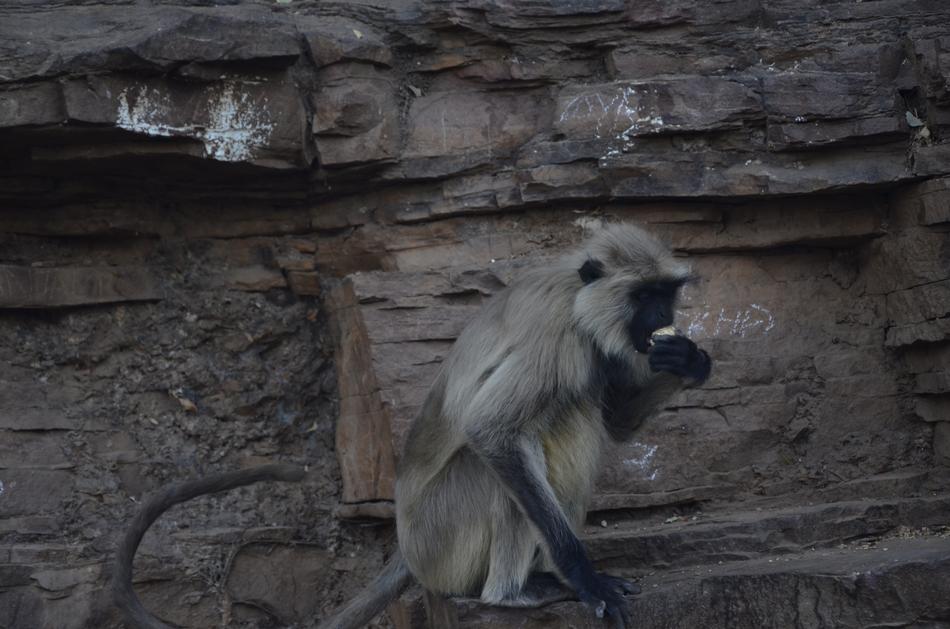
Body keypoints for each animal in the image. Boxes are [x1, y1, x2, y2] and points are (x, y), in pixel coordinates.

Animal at [113, 223, 711, 629]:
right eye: (642, 295)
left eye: (666, 294)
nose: (662, 318)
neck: (576, 296)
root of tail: (407, 543)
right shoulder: (559, 334)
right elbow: (491, 432)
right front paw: (585, 577)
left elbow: (616, 423)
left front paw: (690, 361)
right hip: (440, 538)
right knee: (509, 450)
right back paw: (512, 594)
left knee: (579, 415)